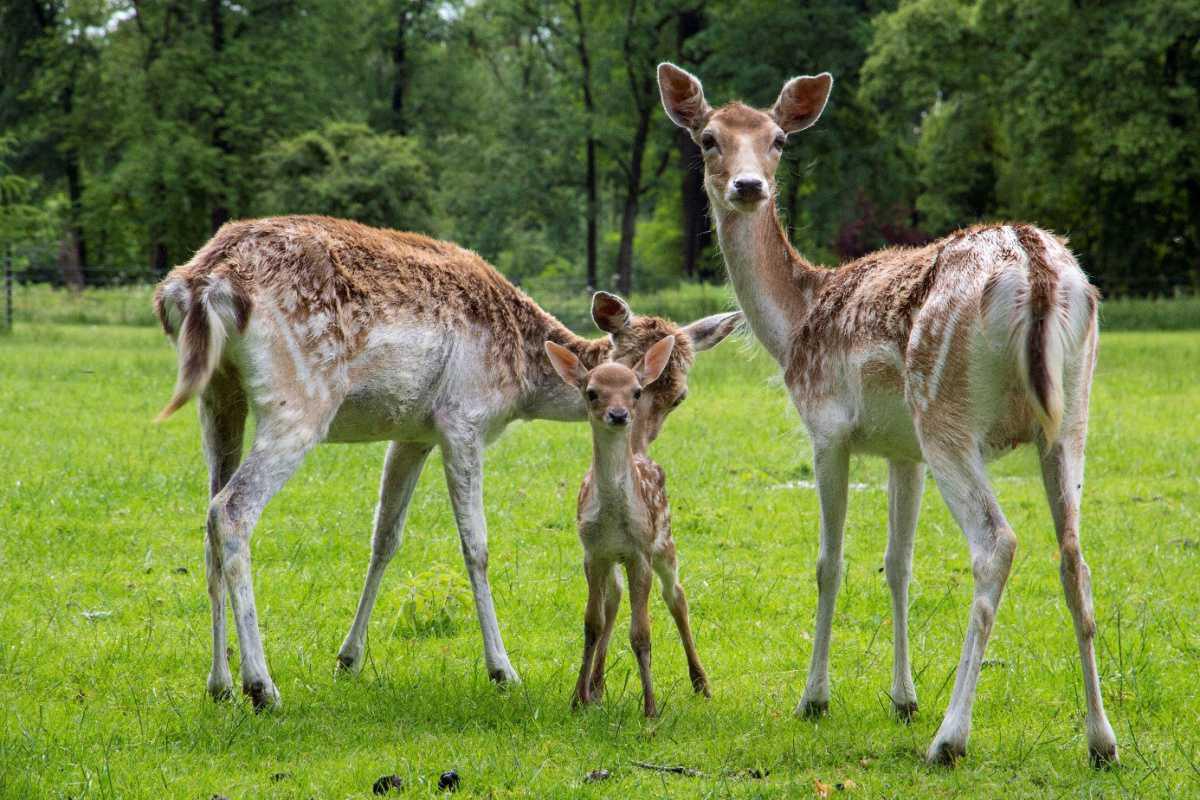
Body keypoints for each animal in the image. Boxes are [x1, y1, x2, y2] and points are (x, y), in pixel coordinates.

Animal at [547, 335, 710, 714]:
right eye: (592, 392)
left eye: (636, 391)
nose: (619, 415)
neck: (614, 518)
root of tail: (641, 454)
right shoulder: (593, 552)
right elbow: (592, 623)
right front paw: (577, 699)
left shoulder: (639, 552)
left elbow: (641, 633)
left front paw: (650, 709)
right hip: (614, 560)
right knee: (614, 600)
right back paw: (596, 686)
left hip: (665, 542)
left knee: (677, 596)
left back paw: (701, 682)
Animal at [657, 65, 1113, 767]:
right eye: (709, 138)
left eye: (778, 140)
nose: (748, 186)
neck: (793, 328)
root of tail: (1035, 266)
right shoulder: (903, 451)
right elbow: (898, 564)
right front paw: (902, 700)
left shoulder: (826, 428)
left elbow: (830, 562)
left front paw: (814, 699)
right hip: (1068, 418)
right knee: (1075, 555)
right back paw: (1101, 740)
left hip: (946, 414)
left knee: (998, 543)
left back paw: (950, 739)